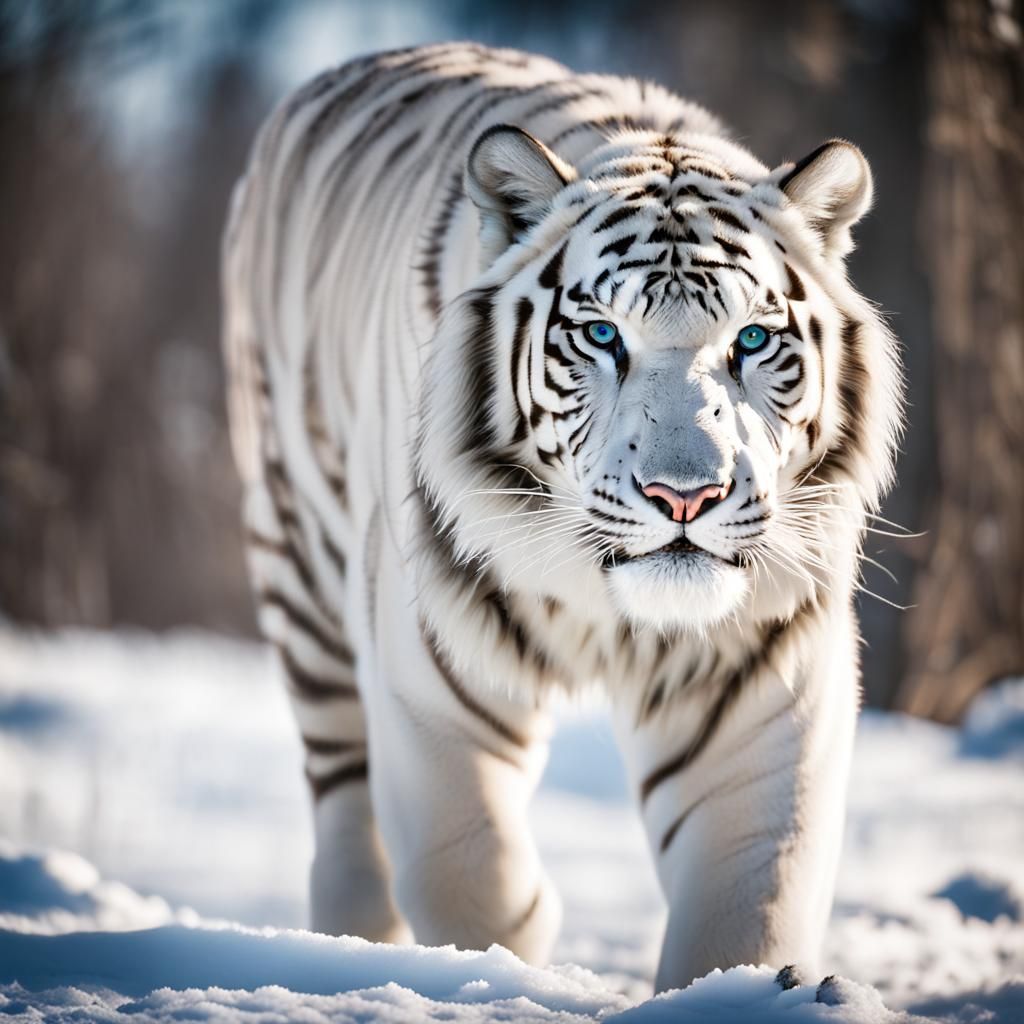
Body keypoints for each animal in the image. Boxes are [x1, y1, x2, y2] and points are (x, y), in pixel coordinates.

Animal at [222, 42, 903, 992]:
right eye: (603, 336)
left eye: (753, 341)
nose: (684, 496)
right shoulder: (429, 684)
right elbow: (470, 872)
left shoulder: (761, 699)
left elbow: (748, 909)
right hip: (300, 578)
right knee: (347, 818)